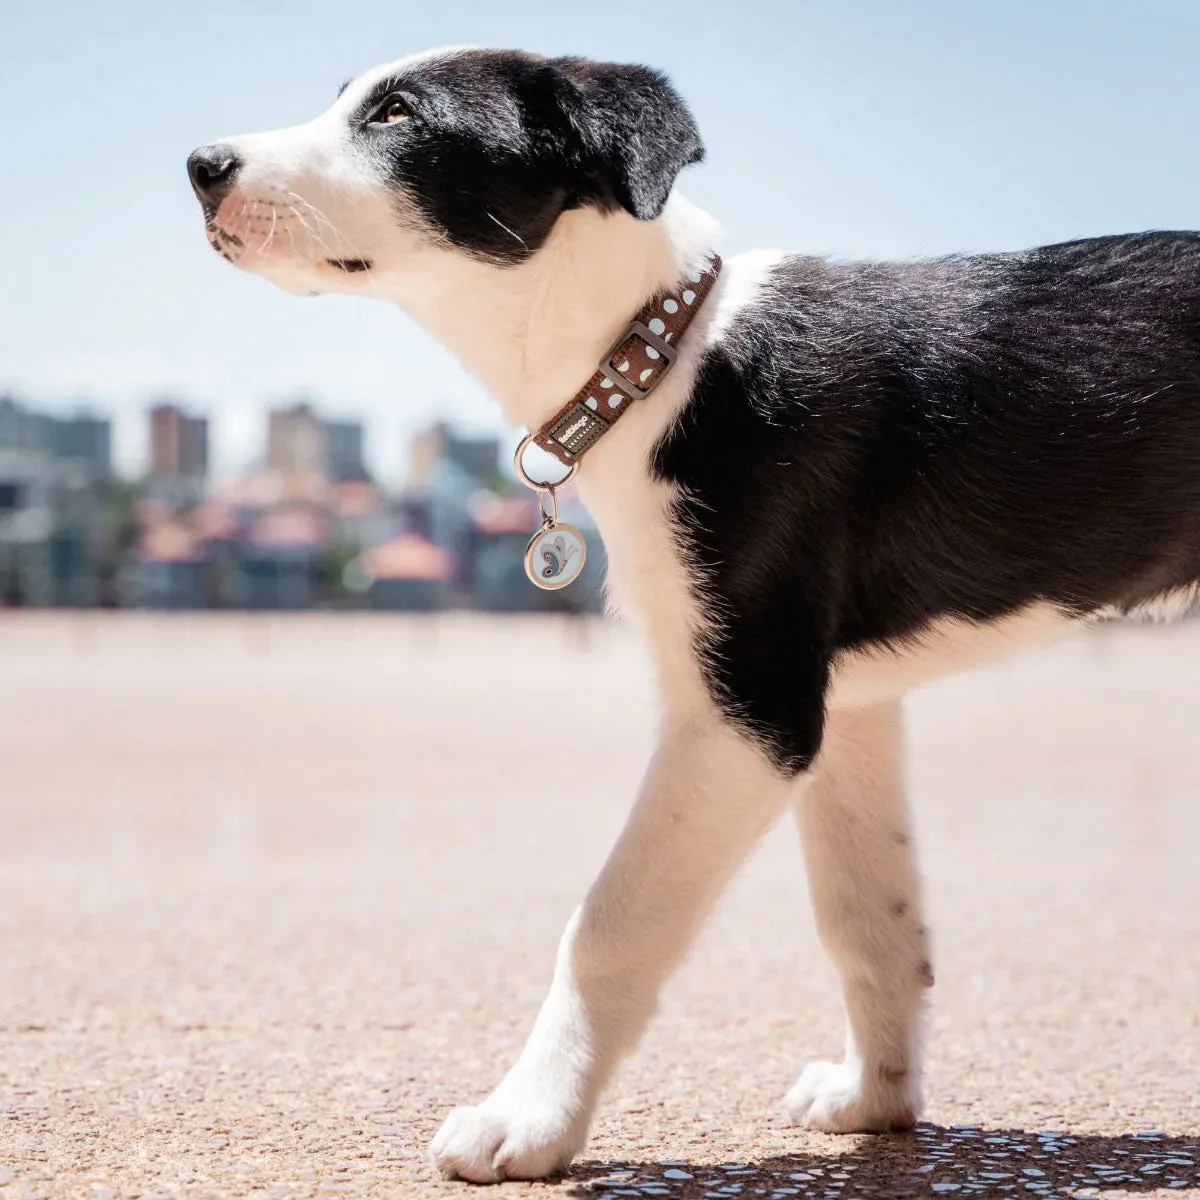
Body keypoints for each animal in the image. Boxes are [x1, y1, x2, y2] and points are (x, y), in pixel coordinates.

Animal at [182, 44, 1200, 1180]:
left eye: (399, 114)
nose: (202, 165)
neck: (659, 359)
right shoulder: (844, 709)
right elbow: (869, 922)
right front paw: (876, 1101)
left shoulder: (747, 710)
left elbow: (610, 922)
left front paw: (529, 1118)